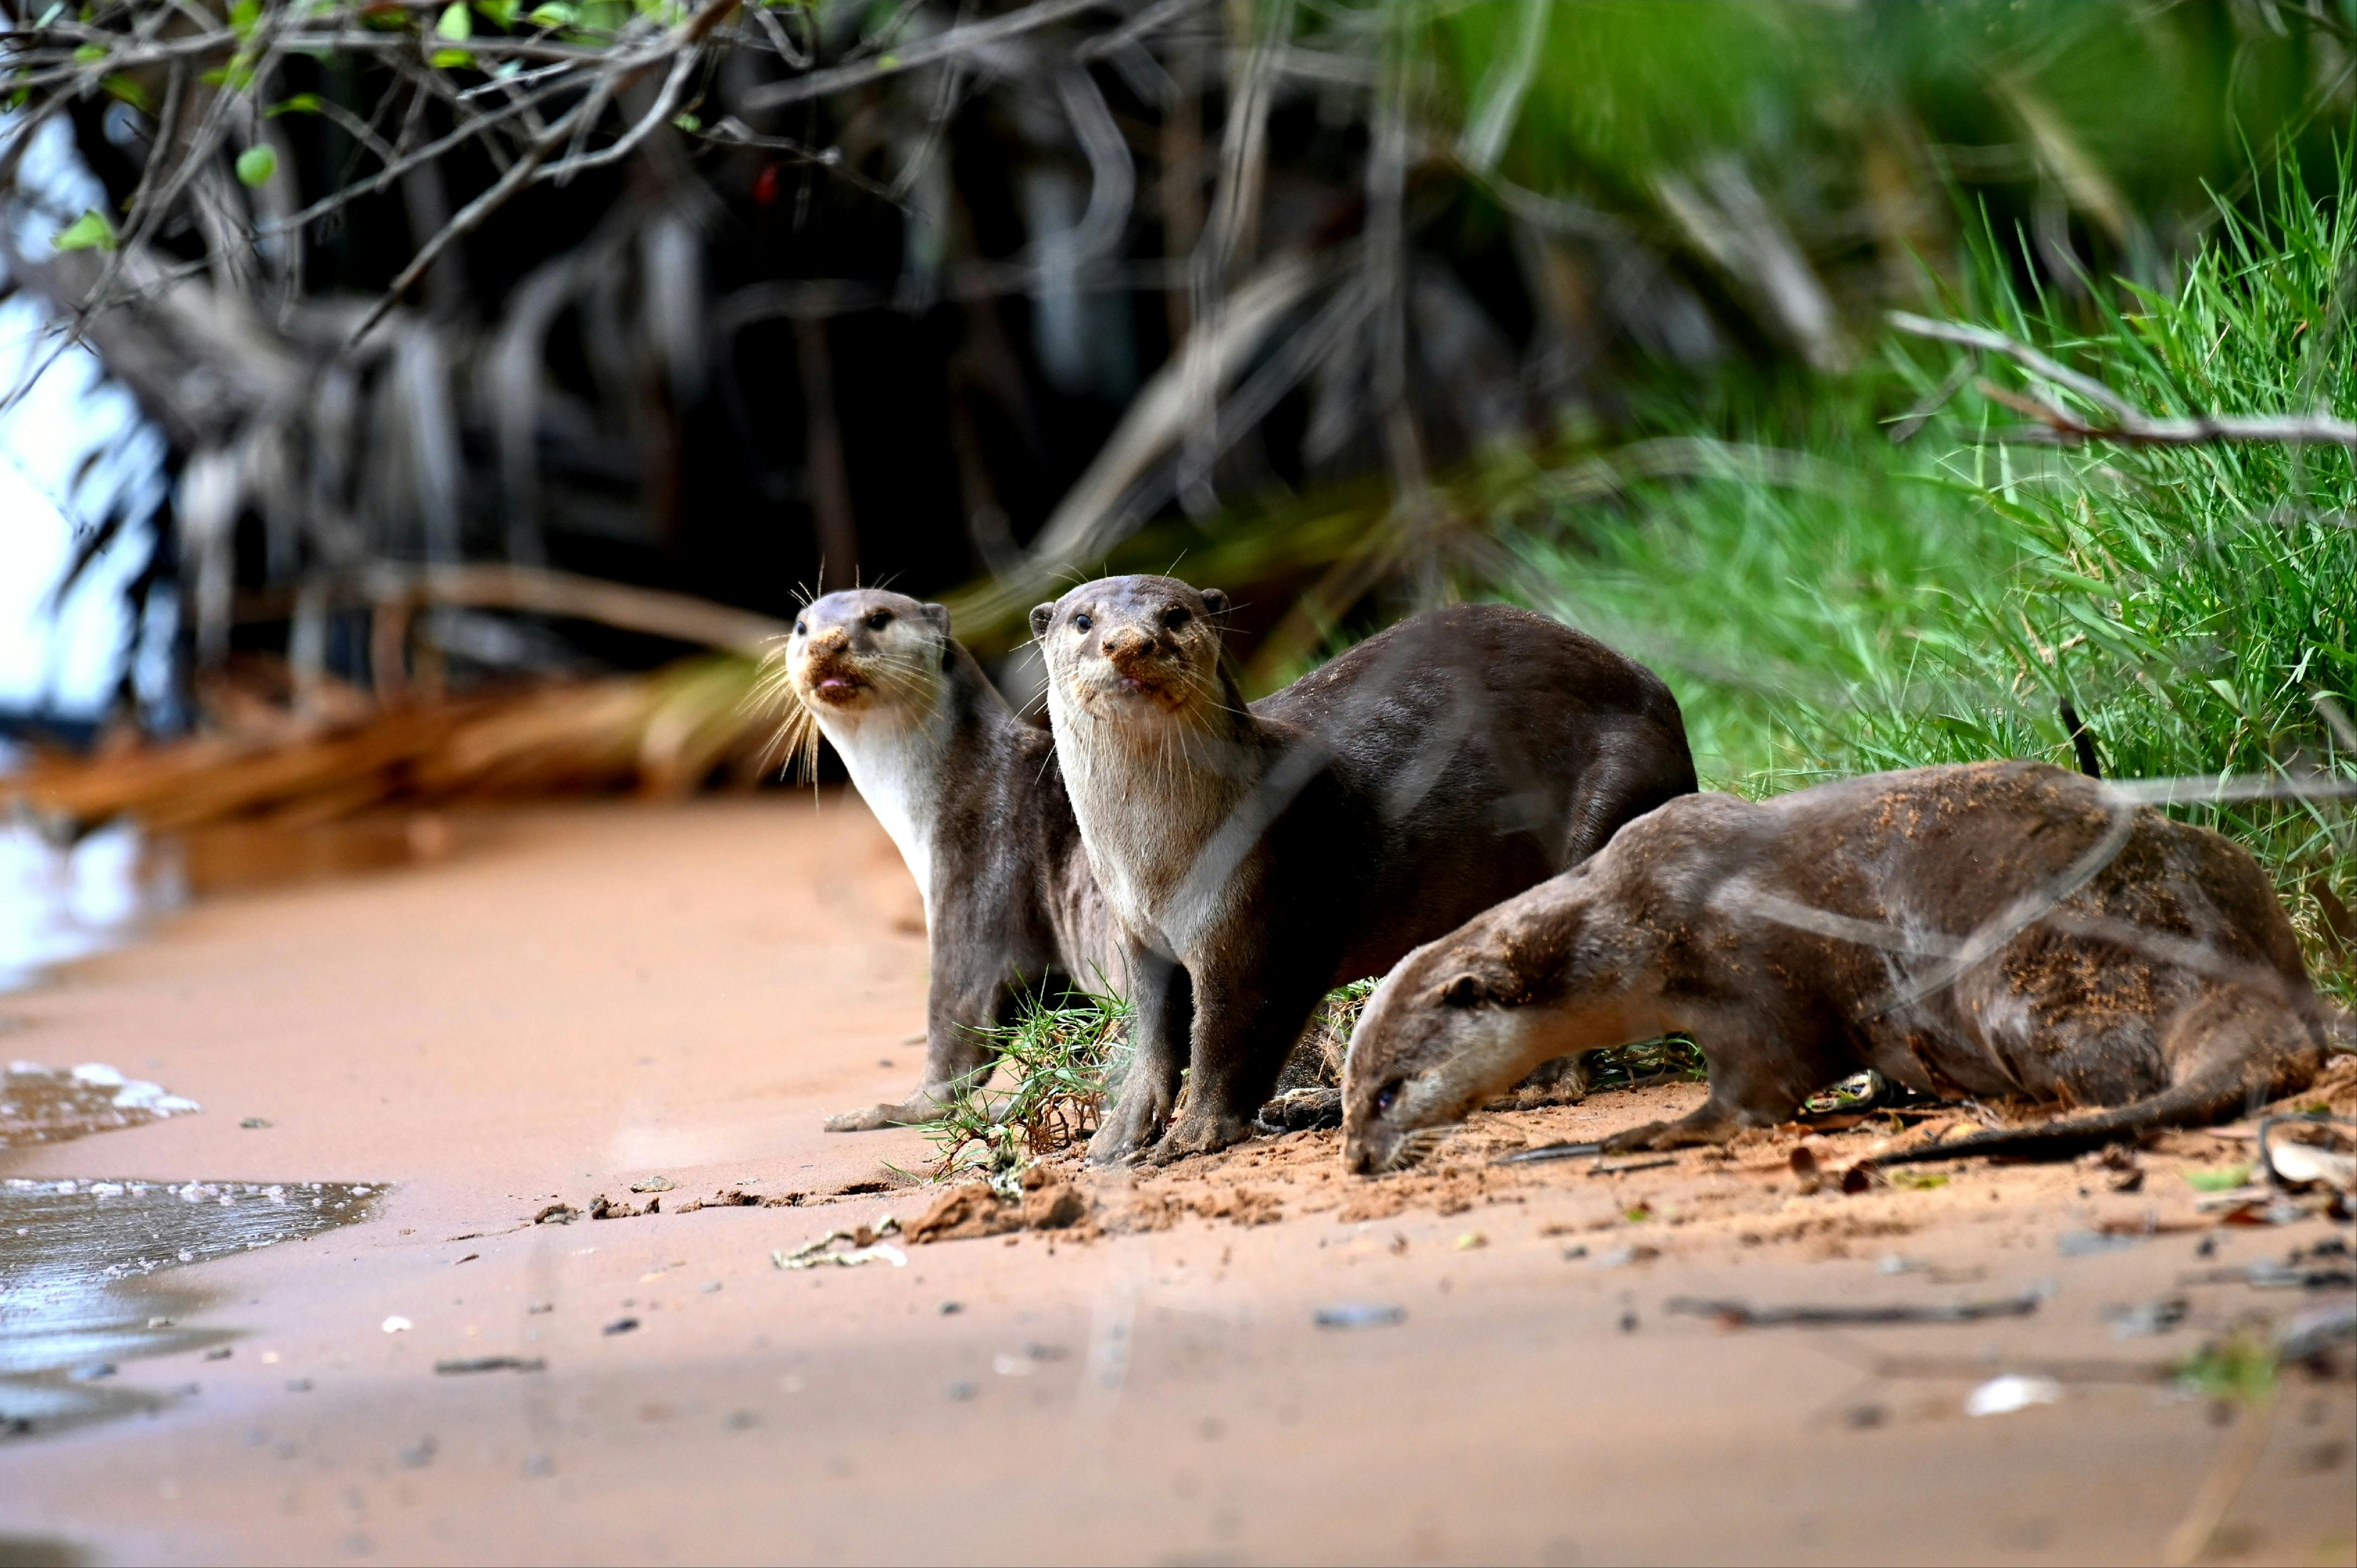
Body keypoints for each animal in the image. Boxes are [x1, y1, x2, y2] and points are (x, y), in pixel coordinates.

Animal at [759, 587, 1117, 1127]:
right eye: (802, 627)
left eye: (878, 618)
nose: (827, 641)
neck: (971, 781)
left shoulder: (977, 869)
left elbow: (956, 1021)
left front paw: (890, 1109)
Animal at [1032, 575, 1697, 1160]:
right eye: (1083, 620)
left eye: (1174, 616)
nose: (1129, 643)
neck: (1158, 871)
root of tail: (1660, 695)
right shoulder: (1139, 937)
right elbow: (1153, 1043)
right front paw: (1117, 1137)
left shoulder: (1261, 928)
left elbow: (1228, 1042)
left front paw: (1193, 1135)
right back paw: (1314, 1103)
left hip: (1613, 797)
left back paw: (1536, 1085)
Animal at [1339, 759, 2328, 1174]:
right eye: (1349, 1093)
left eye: (1389, 1090)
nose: (1353, 1156)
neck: (1633, 919)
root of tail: (2233, 966)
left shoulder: (1748, 977)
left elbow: (1759, 1087)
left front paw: (1648, 1132)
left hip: (2018, 976)